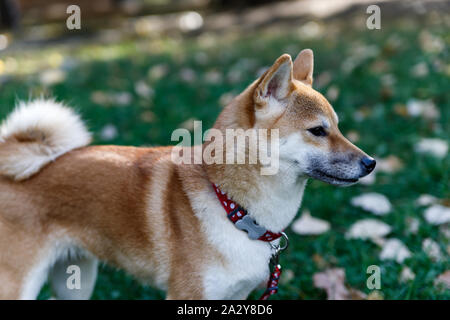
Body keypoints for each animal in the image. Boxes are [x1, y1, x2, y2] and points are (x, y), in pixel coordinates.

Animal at [0, 48, 374, 298]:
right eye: (318, 131)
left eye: (338, 127)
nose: (370, 163)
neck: (232, 208)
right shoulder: (189, 295)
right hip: (21, 284)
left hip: (76, 279)